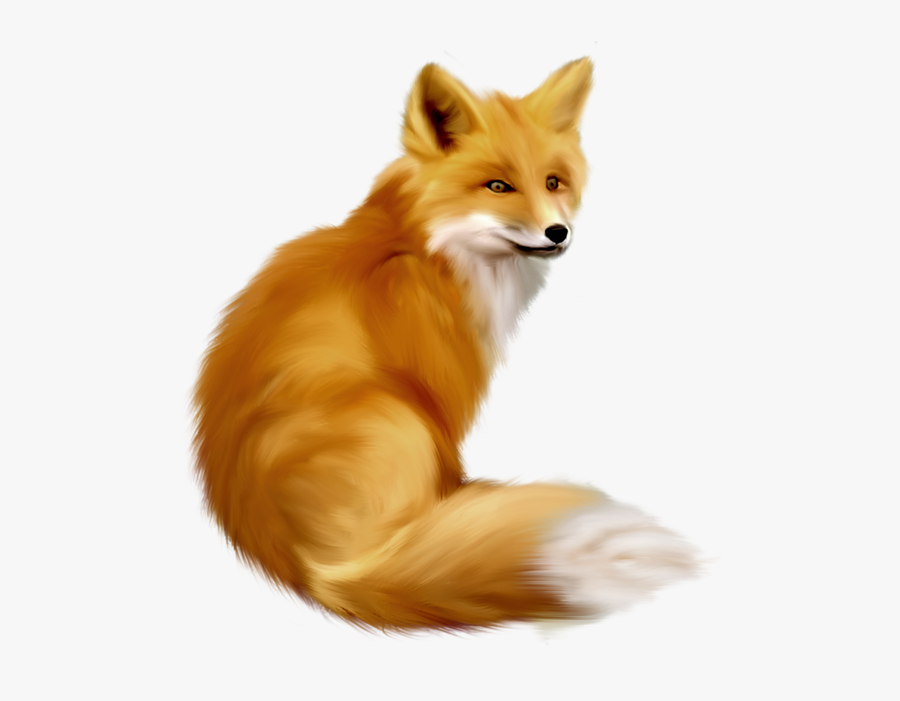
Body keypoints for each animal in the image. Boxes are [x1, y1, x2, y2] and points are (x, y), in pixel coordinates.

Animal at [192, 58, 700, 631]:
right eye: (498, 185)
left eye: (554, 182)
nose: (558, 232)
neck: (423, 247)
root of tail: (313, 573)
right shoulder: (440, 387)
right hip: (398, 417)